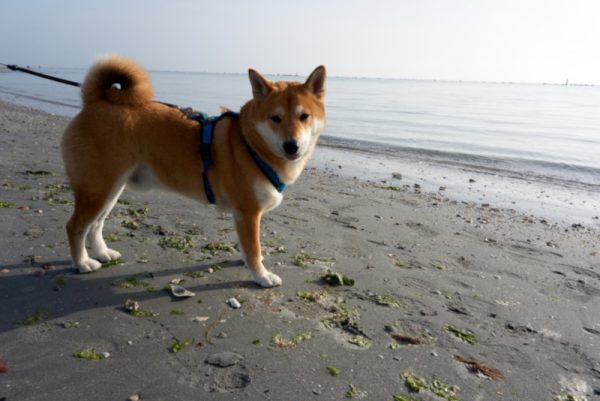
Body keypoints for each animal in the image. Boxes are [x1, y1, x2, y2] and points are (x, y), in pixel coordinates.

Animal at [61, 57, 326, 288]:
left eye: (304, 116)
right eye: (275, 118)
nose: (292, 146)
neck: (250, 143)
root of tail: (95, 102)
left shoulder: (243, 216)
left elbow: (248, 247)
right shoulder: (249, 213)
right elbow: (253, 249)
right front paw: (261, 276)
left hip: (110, 190)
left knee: (96, 225)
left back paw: (102, 253)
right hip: (97, 189)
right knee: (75, 227)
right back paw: (82, 262)